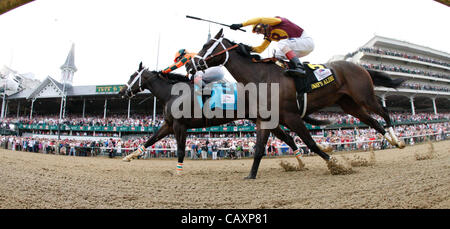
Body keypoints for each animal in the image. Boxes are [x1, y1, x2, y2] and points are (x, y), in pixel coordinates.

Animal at [118, 61, 330, 178]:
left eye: (132, 75)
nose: (122, 92)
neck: (172, 93)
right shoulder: (169, 125)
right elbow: (149, 140)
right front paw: (129, 156)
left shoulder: (180, 125)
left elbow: (180, 150)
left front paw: (178, 171)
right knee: (288, 137)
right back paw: (300, 162)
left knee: (290, 136)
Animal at [186, 28, 408, 178]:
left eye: (206, 45)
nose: (189, 64)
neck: (261, 77)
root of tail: (359, 66)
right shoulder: (266, 120)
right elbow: (259, 149)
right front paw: (251, 175)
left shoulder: (291, 117)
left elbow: (310, 143)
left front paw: (336, 164)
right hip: (349, 105)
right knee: (373, 121)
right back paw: (392, 141)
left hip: (364, 96)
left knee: (384, 112)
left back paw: (398, 139)